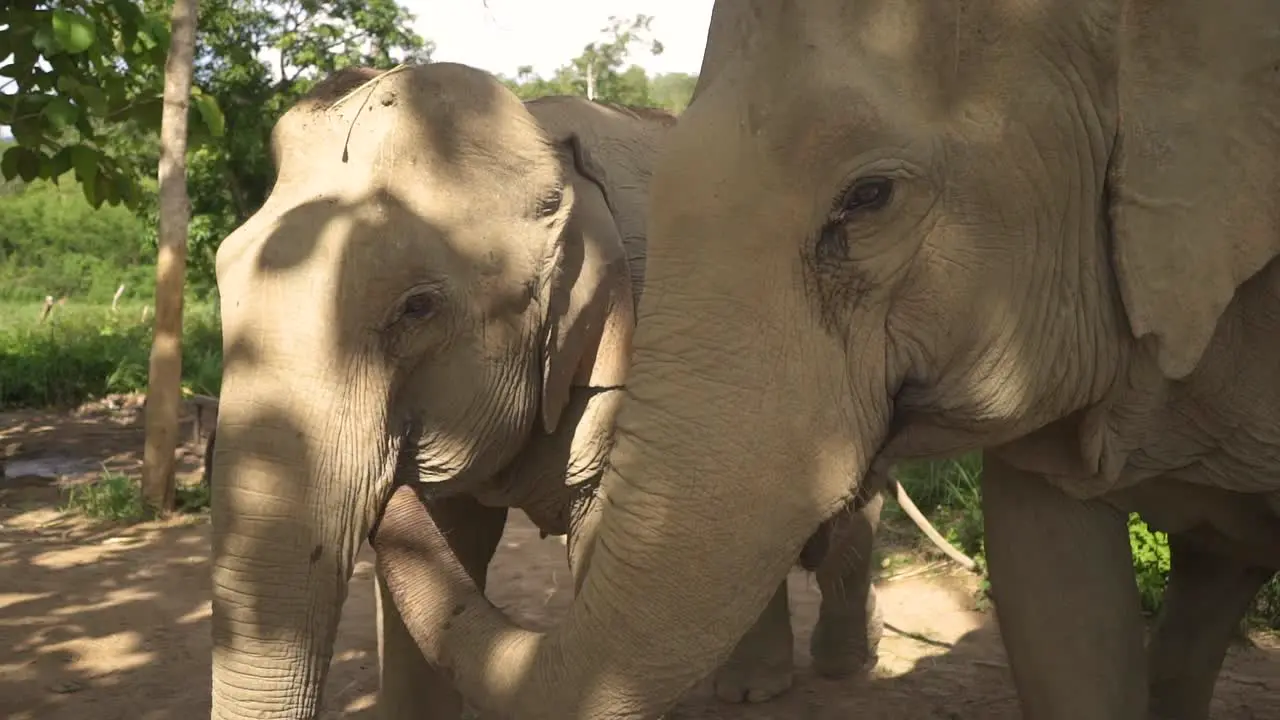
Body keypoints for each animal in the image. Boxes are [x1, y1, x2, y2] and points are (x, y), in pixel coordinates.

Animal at [207, 63, 967, 717]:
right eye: (220, 268)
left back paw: (843, 667)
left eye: (416, 309)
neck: (544, 145)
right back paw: (752, 689)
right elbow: (446, 546)